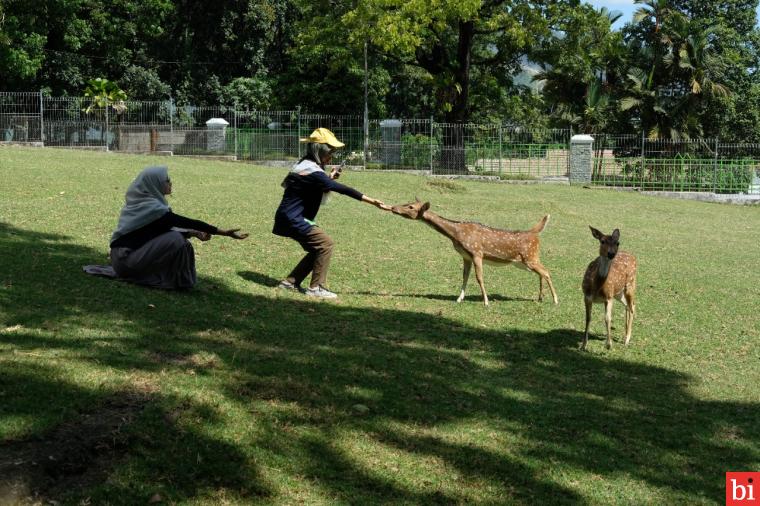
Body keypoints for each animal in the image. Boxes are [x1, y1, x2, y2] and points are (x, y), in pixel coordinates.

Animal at [392, 200, 560, 306]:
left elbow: (479, 278)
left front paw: (486, 302)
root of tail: (535, 233)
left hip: (530, 257)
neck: (456, 234)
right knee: (541, 272)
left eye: (411, 206)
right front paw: (459, 299)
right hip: (524, 261)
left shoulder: (477, 252)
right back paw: (540, 297)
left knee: (546, 272)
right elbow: (465, 276)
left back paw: (555, 300)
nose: (393, 208)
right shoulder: (465, 256)